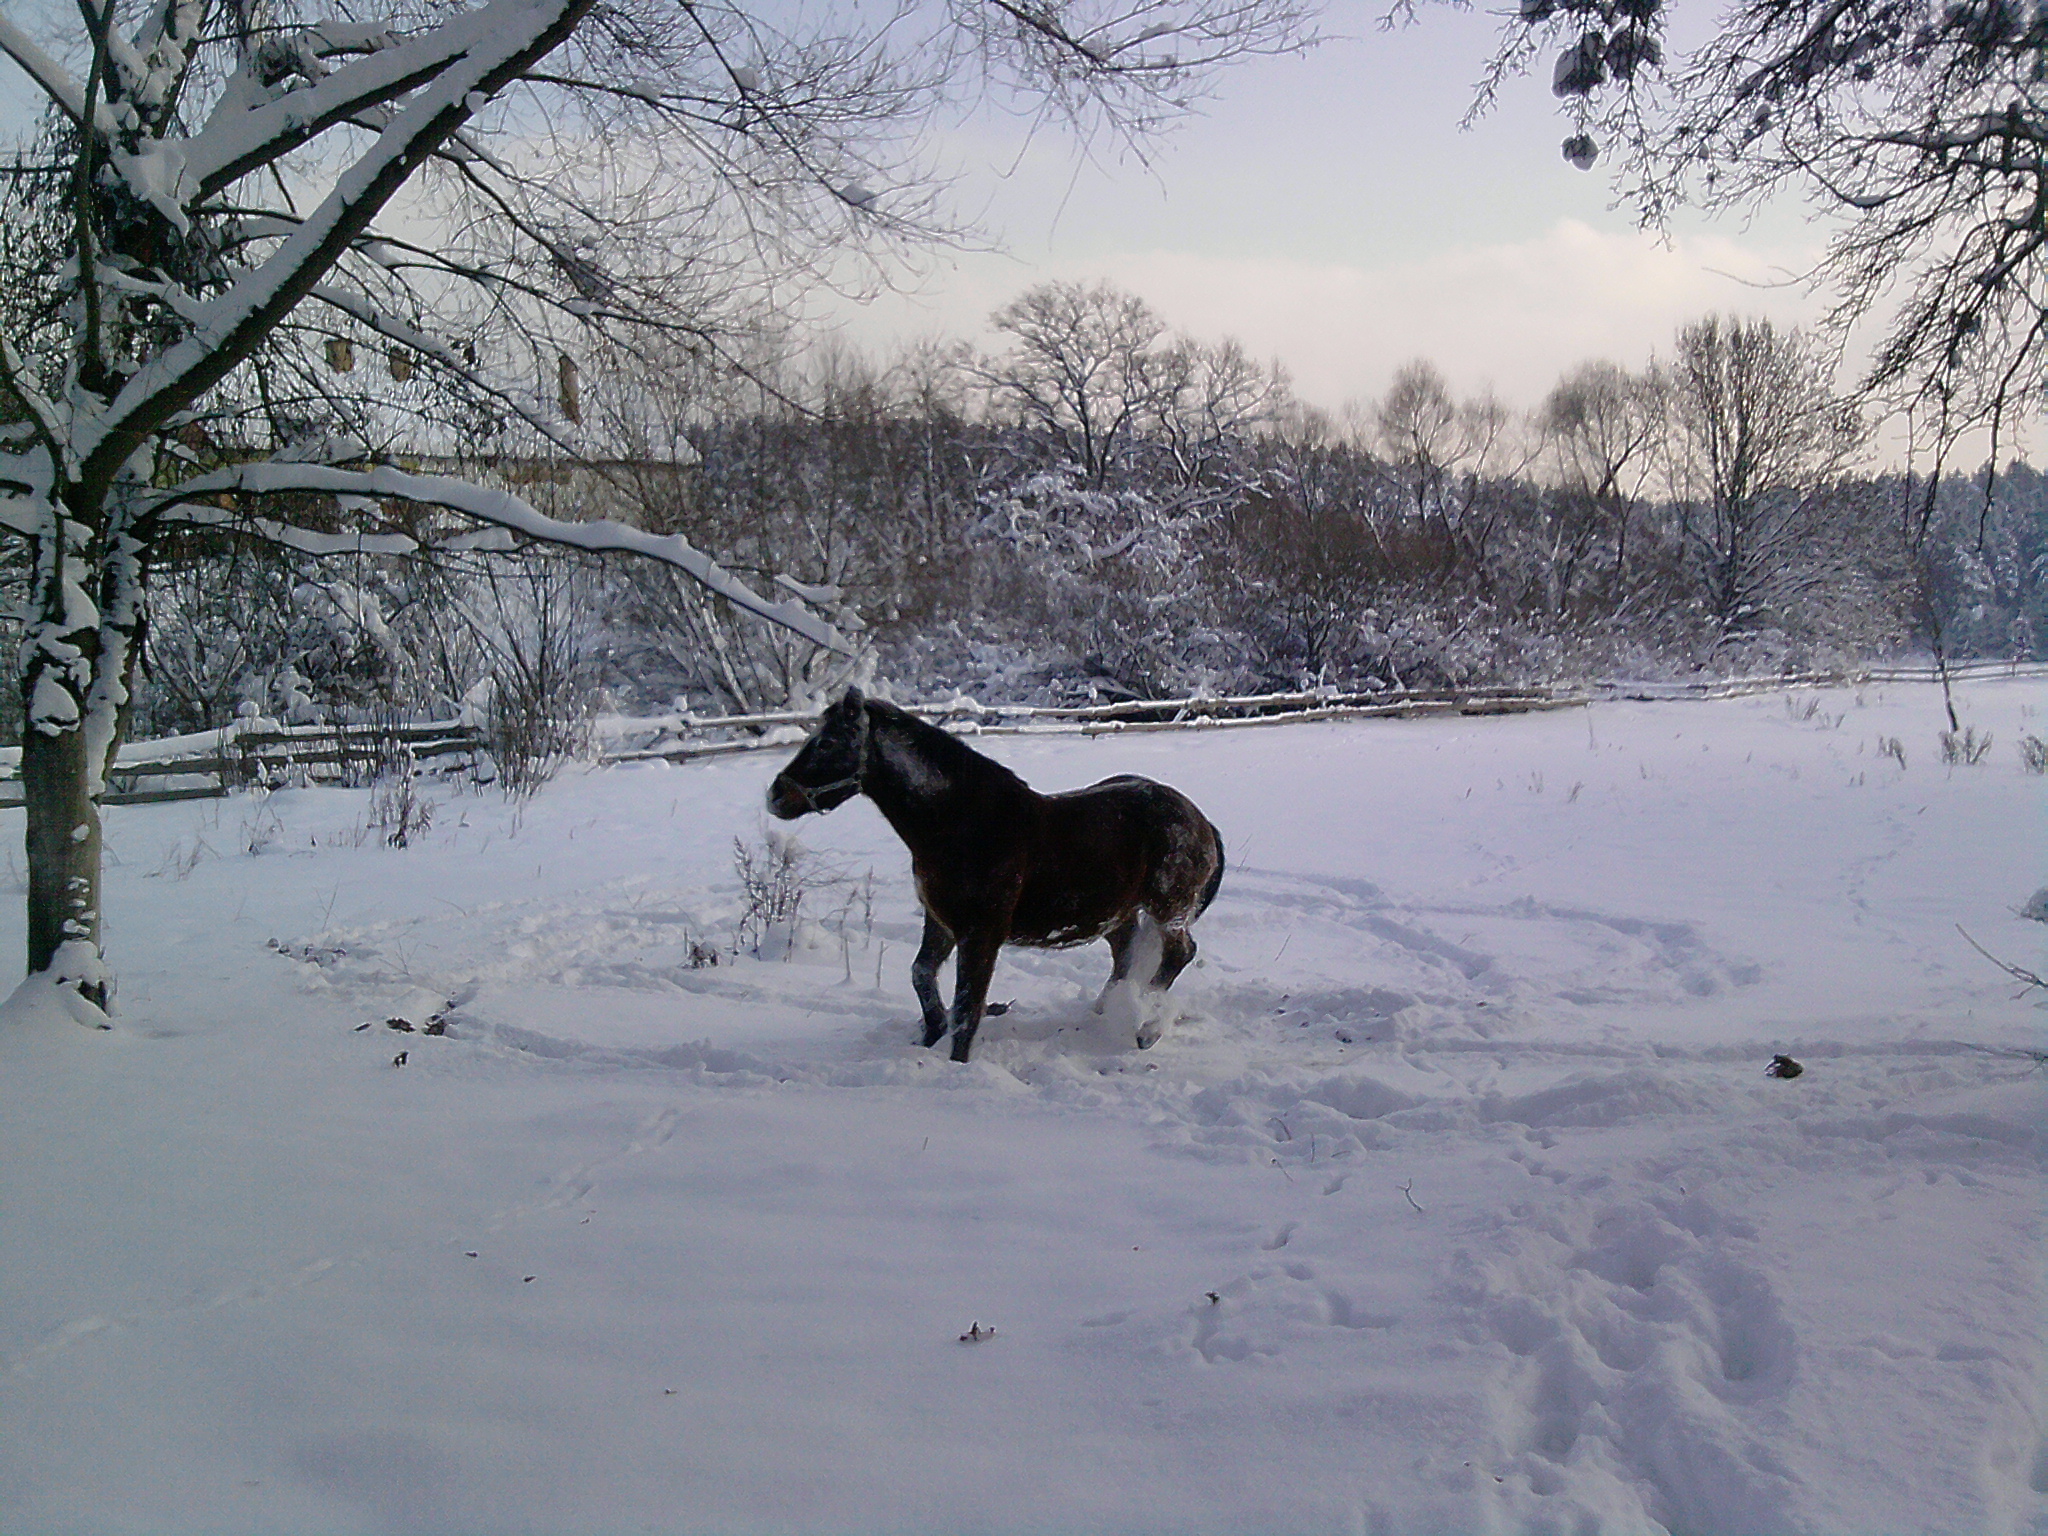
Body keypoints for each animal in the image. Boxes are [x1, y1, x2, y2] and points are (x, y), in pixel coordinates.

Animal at [765, 692, 1212, 1064]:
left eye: (827, 742)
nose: (775, 796)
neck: (963, 825)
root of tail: (1199, 820)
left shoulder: (981, 933)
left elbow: (968, 1006)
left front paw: (956, 1062)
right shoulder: (941, 922)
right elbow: (922, 975)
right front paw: (932, 1033)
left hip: (1168, 908)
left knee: (1178, 954)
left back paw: (1146, 1027)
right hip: (1116, 913)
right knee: (1125, 956)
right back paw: (1104, 1016)